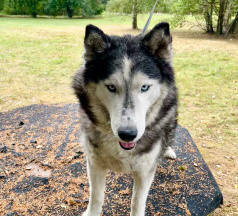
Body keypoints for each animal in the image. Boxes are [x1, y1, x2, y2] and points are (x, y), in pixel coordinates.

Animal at [72, 22, 177, 216]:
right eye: (111, 87)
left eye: (144, 87)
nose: (127, 134)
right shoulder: (94, 163)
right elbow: (96, 197)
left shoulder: (145, 171)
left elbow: (137, 203)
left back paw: (167, 150)